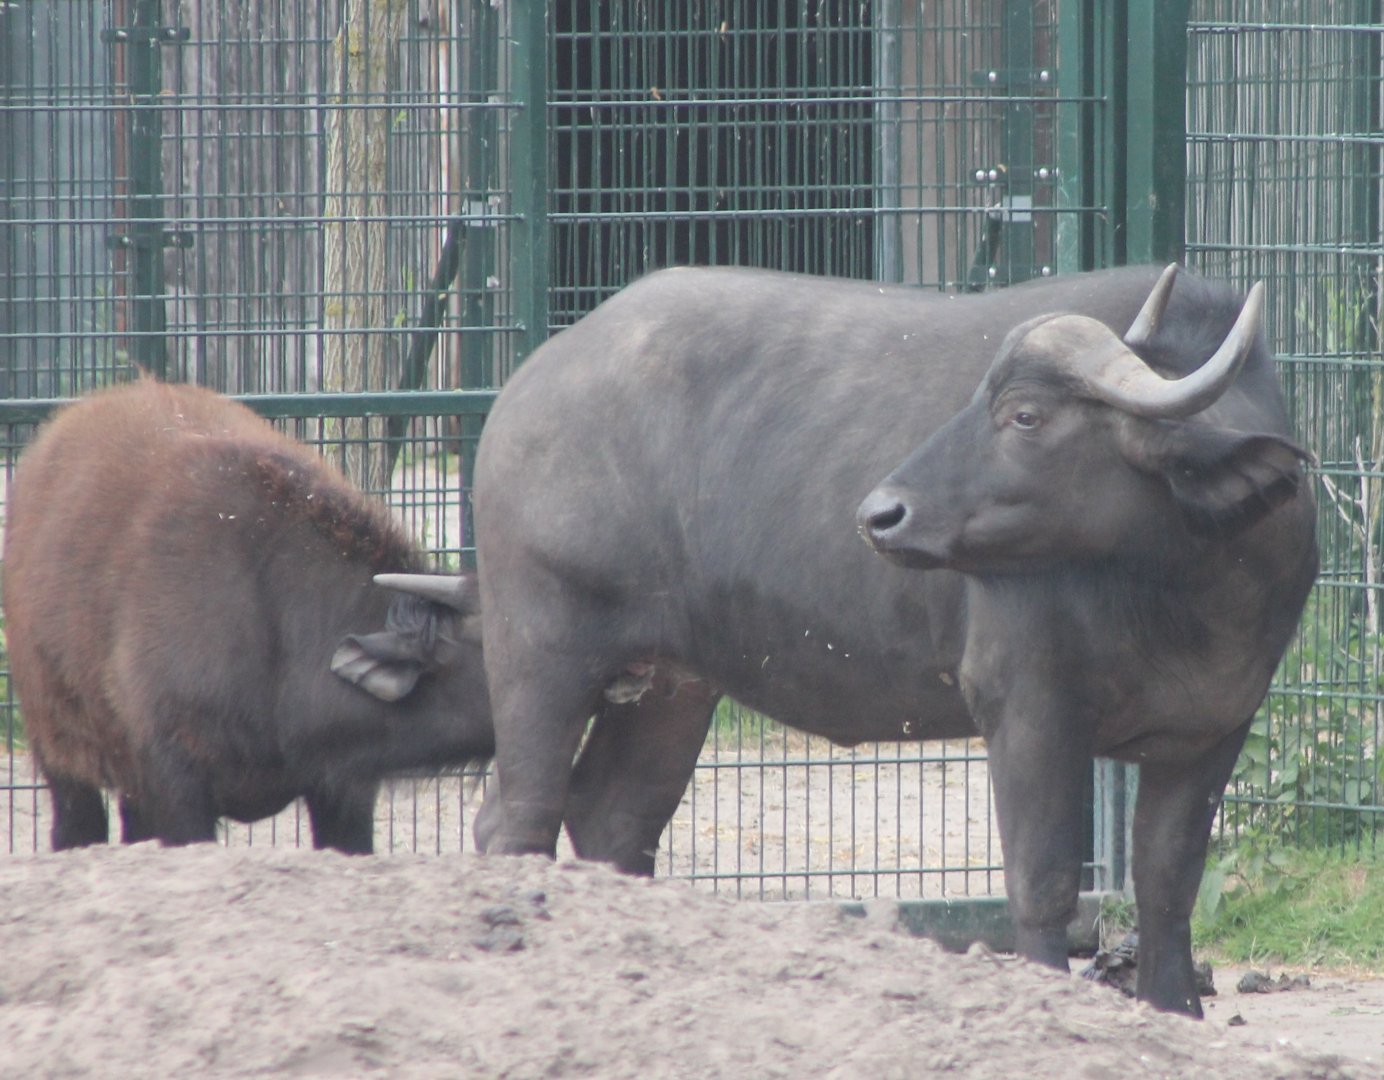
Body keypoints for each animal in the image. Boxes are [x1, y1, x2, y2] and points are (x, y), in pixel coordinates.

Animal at [382, 264, 1316, 1016]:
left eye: (1023, 415)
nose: (882, 513)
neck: (1186, 582)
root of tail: (528, 388)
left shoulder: (1213, 727)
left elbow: (1167, 880)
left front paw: (1176, 1010)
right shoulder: (1029, 711)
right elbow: (1044, 882)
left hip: (675, 683)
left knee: (613, 816)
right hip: (541, 645)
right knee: (518, 815)